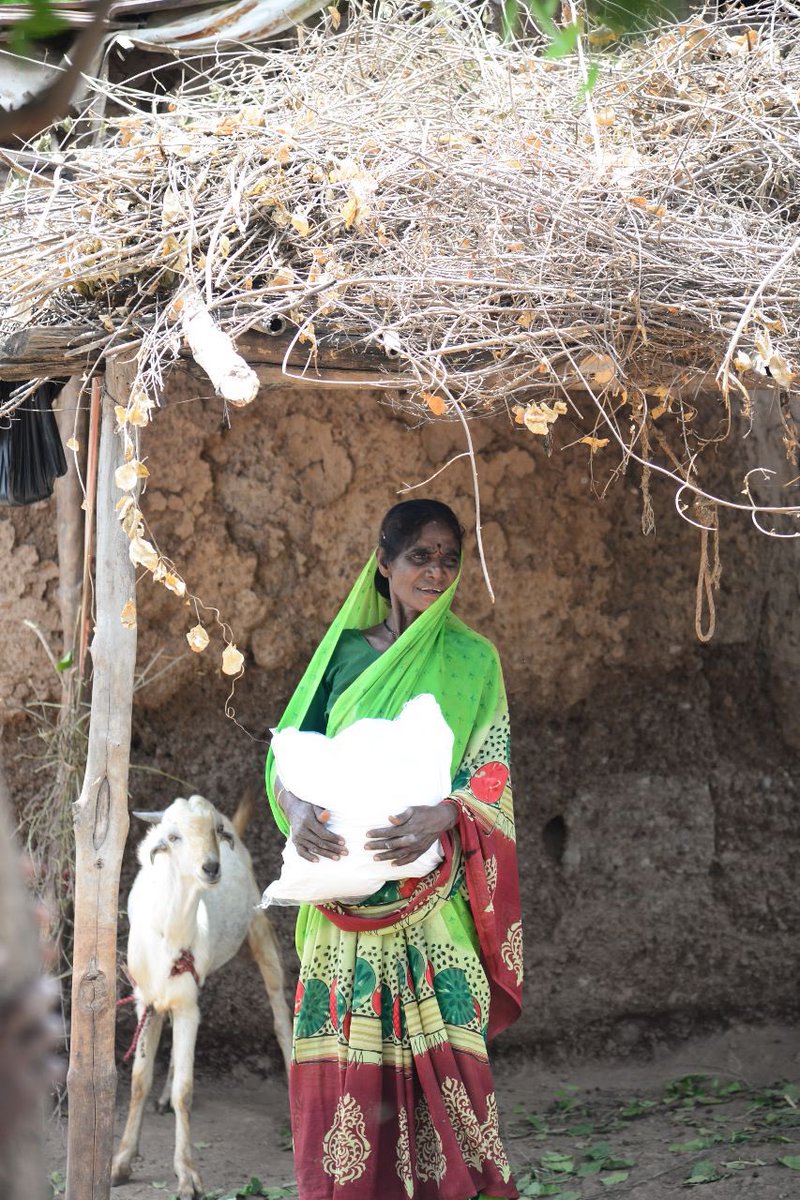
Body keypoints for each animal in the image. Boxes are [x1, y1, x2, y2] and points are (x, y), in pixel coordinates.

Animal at [109, 792, 291, 1195]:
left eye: (215, 831)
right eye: (173, 837)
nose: (211, 867)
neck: (170, 937)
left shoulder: (186, 1005)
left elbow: (186, 1091)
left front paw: (186, 1174)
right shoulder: (147, 1001)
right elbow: (139, 1081)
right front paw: (121, 1162)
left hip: (260, 930)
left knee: (282, 1018)